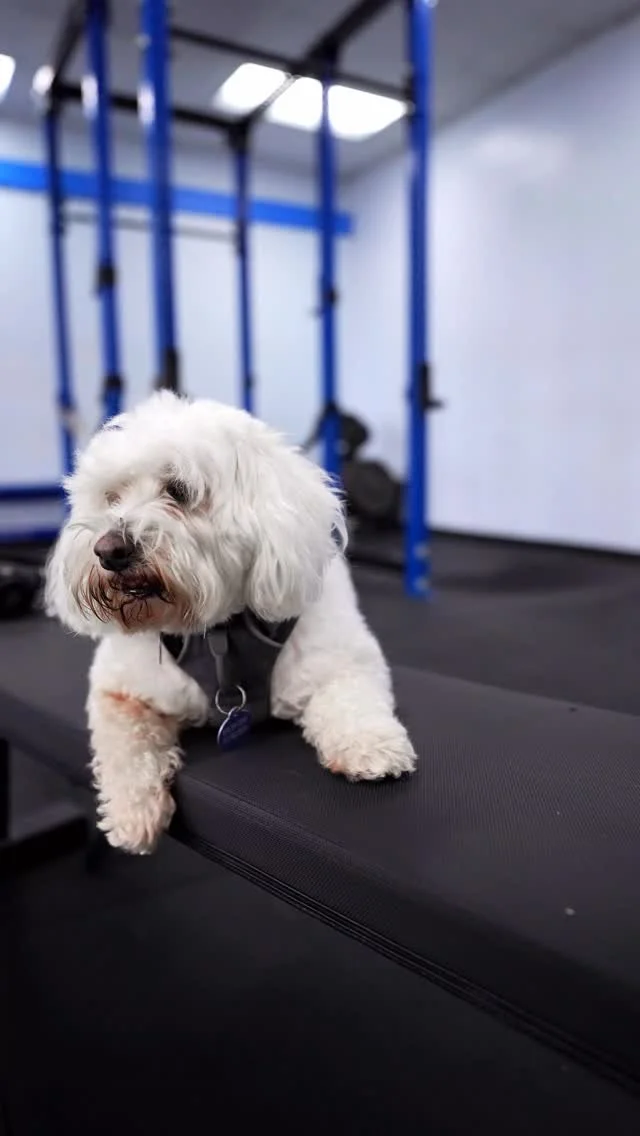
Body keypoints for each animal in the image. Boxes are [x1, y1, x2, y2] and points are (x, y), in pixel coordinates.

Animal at [45, 392, 417, 854]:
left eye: (179, 491)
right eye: (111, 497)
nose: (109, 550)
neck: (217, 633)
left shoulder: (344, 656)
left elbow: (353, 698)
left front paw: (371, 746)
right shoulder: (119, 687)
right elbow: (124, 741)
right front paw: (131, 812)